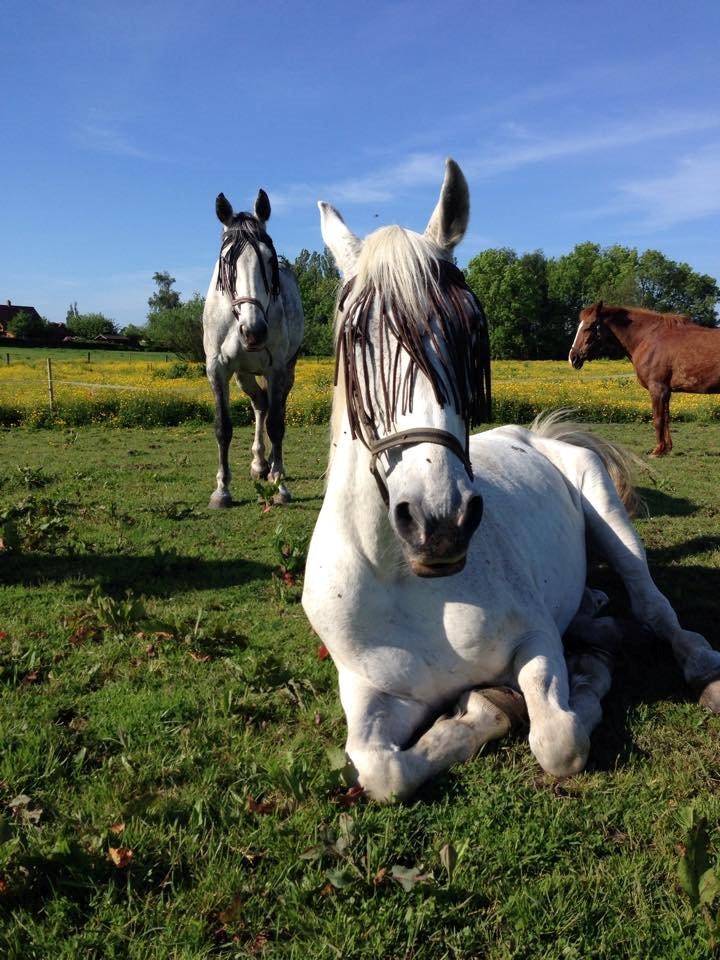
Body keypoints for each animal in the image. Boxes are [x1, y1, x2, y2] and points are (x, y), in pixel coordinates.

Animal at [202, 189, 304, 510]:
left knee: (274, 408)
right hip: (243, 375)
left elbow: (277, 424)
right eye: (226, 261)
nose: (254, 331)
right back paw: (260, 464)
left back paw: (271, 467)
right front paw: (221, 491)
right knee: (260, 404)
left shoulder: (276, 369)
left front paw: (281, 486)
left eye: (269, 260)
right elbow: (223, 427)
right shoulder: (218, 369)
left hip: (285, 372)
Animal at [568, 304, 720, 458]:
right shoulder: (666, 392)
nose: (573, 357)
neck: (648, 338)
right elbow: (666, 418)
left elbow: (658, 419)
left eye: (588, 327)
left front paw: (658, 450)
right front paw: (666, 448)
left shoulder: (658, 389)